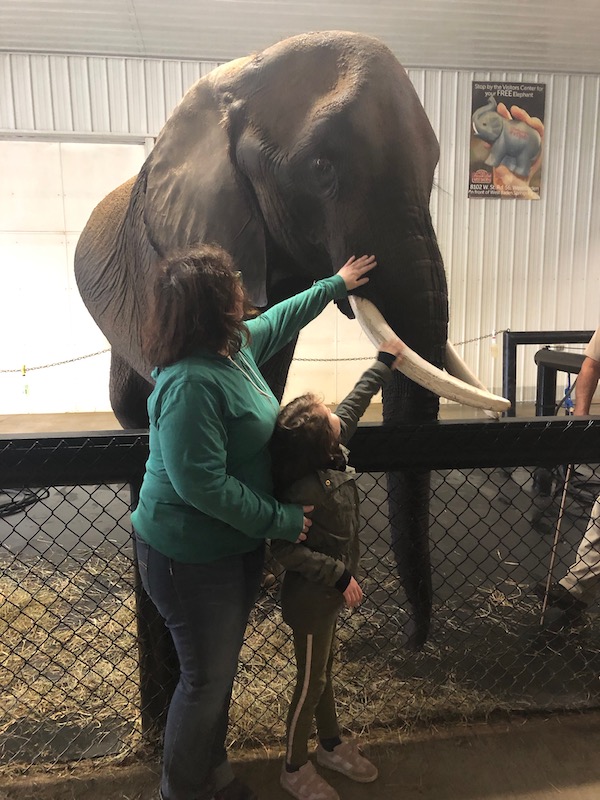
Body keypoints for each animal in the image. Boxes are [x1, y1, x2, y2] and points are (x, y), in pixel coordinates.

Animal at [74, 32, 506, 656]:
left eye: (434, 166)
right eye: (321, 165)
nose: (410, 639)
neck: (235, 81)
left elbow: (272, 363)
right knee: (128, 403)